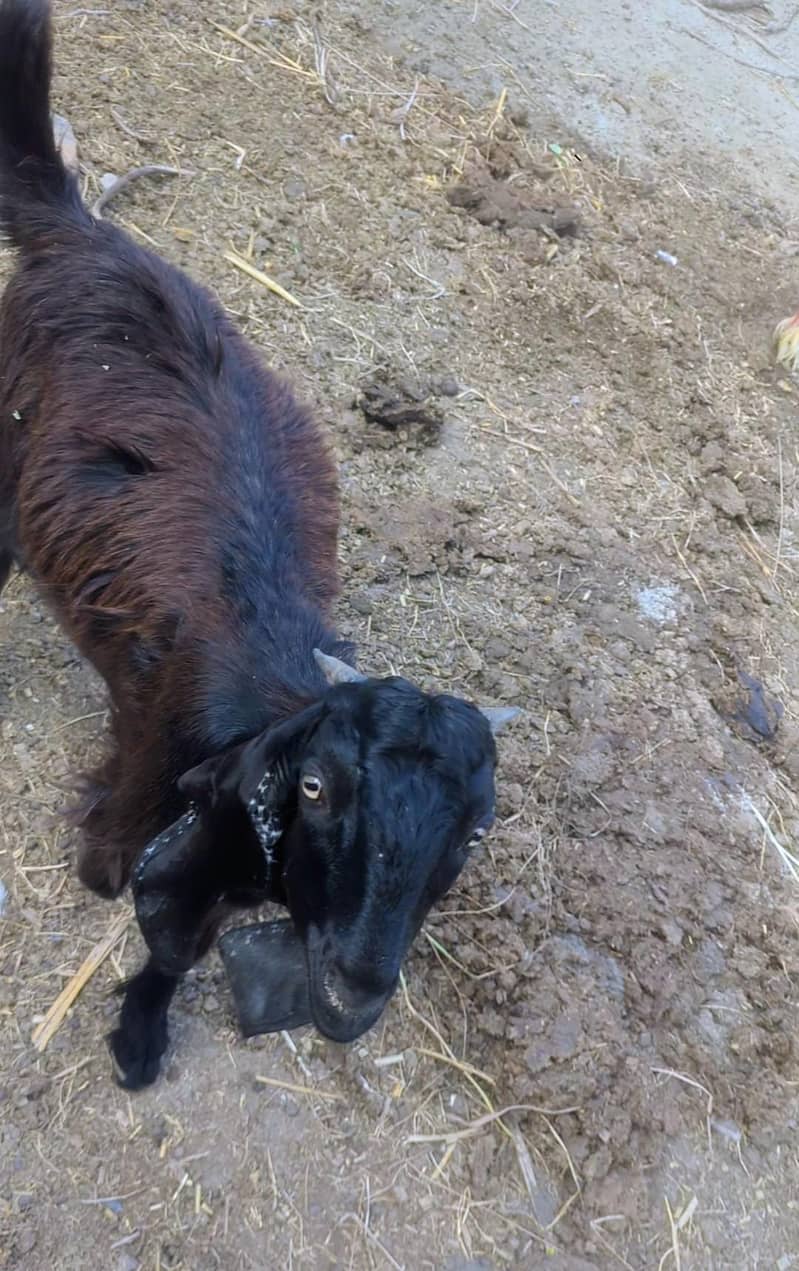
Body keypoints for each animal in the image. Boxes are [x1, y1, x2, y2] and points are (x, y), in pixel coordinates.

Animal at [0, 0, 518, 1088]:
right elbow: (150, 915)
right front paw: (136, 1034)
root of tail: (80, 228)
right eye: (315, 788)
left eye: (474, 828)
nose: (355, 991)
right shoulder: (152, 785)